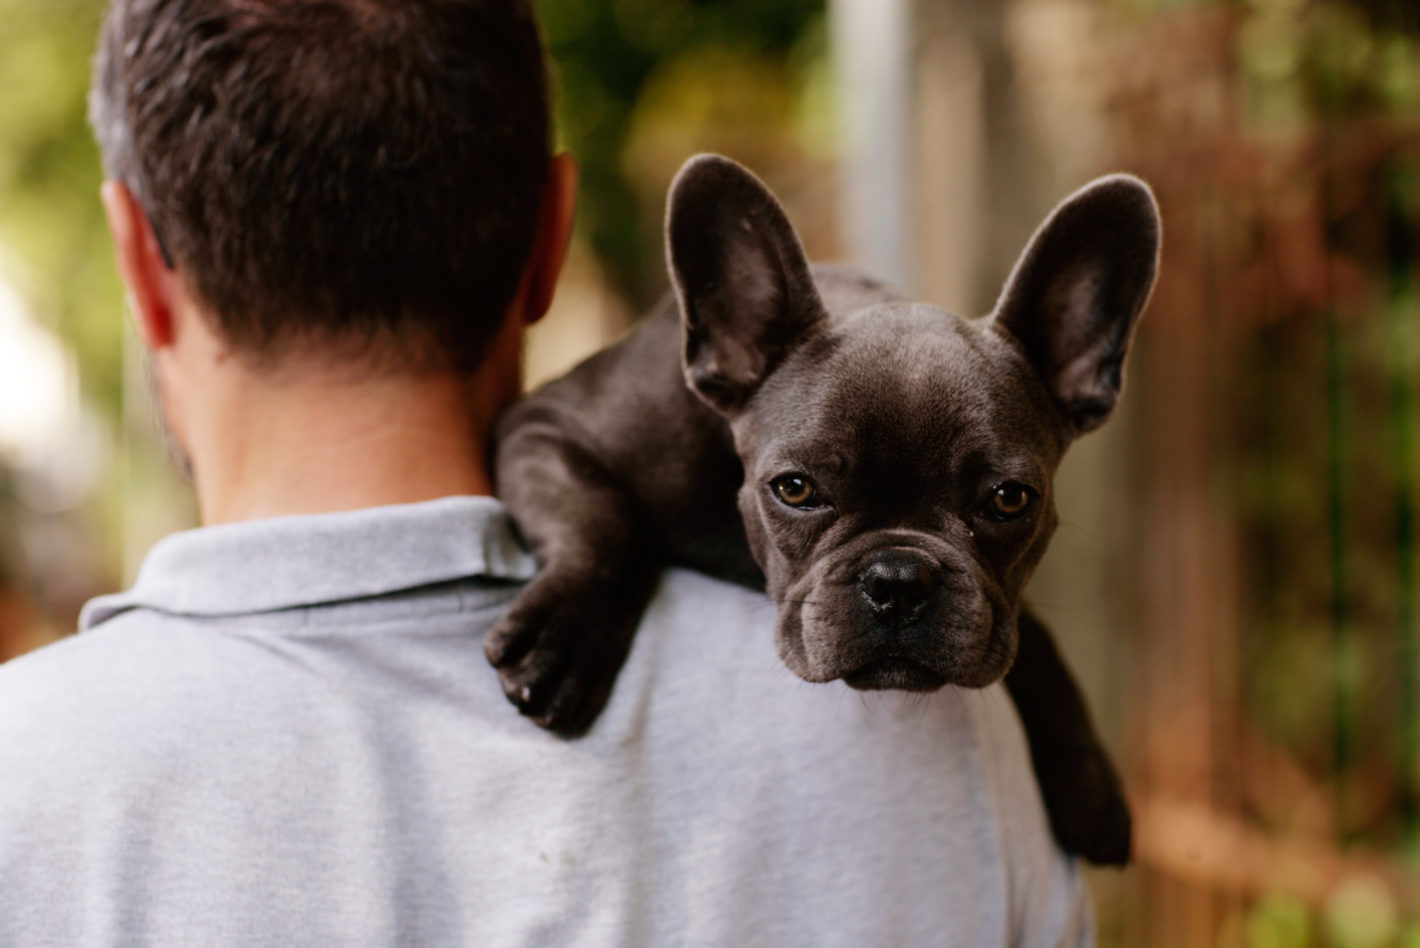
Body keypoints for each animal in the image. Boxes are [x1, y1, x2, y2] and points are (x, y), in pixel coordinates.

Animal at [485, 153, 1153, 868]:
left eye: (1009, 500)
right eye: (796, 489)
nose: (899, 580)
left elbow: (1033, 633)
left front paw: (1087, 778)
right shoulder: (544, 426)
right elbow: (603, 519)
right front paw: (563, 636)